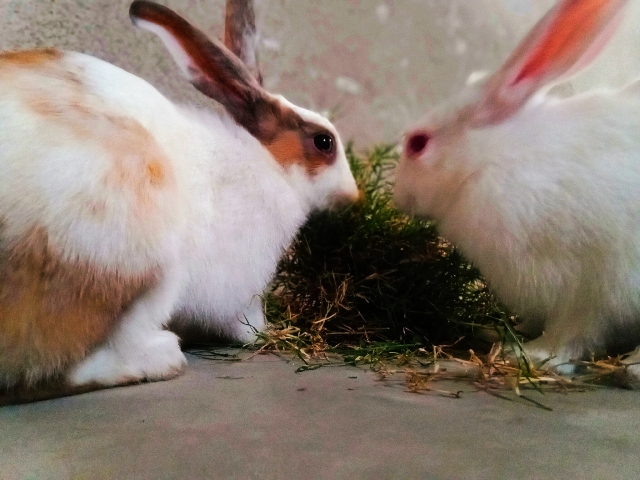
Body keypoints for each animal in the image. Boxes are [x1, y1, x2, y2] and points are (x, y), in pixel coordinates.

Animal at [0, 0, 358, 396]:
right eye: (324, 142)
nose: (353, 195)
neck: (269, 164)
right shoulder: (242, 289)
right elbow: (246, 322)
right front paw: (269, 333)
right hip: (137, 266)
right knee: (63, 366)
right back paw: (164, 357)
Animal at [393, 0, 640, 377]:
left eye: (418, 143)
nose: (397, 196)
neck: (500, 160)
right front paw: (498, 331)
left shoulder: (596, 288)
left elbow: (573, 332)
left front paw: (530, 355)